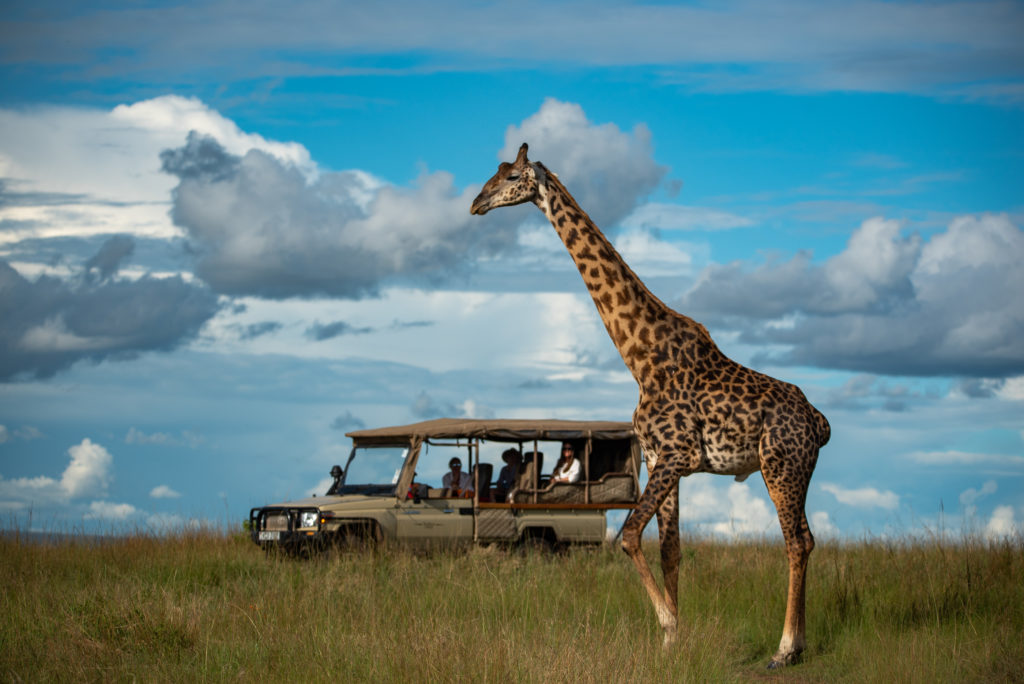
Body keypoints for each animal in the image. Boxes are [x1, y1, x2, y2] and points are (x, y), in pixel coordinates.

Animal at [471, 144, 830, 668]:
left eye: (513, 176)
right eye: (493, 174)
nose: (476, 203)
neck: (639, 358)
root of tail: (819, 422)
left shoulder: (679, 453)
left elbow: (627, 536)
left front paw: (669, 627)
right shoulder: (664, 458)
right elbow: (670, 550)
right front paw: (672, 642)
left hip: (782, 464)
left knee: (797, 541)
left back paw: (784, 650)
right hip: (786, 468)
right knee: (804, 539)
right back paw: (795, 643)